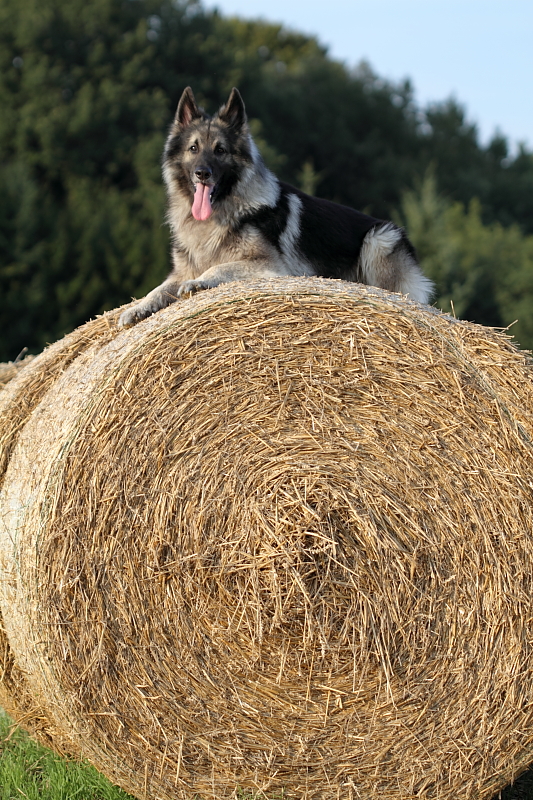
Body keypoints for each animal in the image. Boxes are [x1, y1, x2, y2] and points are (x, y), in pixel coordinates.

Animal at [117, 86, 432, 326]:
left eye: (220, 150)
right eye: (193, 149)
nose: (202, 174)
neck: (223, 213)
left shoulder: (269, 266)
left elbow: (220, 268)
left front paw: (199, 283)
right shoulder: (181, 270)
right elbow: (159, 289)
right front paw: (137, 308)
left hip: (379, 239)